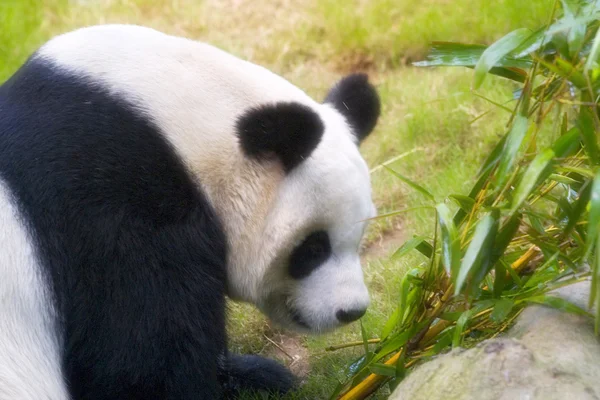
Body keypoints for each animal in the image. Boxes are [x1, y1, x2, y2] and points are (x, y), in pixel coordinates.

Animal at [0, 25, 380, 400]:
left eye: (359, 236)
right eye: (313, 248)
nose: (352, 310)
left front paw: (255, 376)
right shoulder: (108, 202)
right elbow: (142, 359)